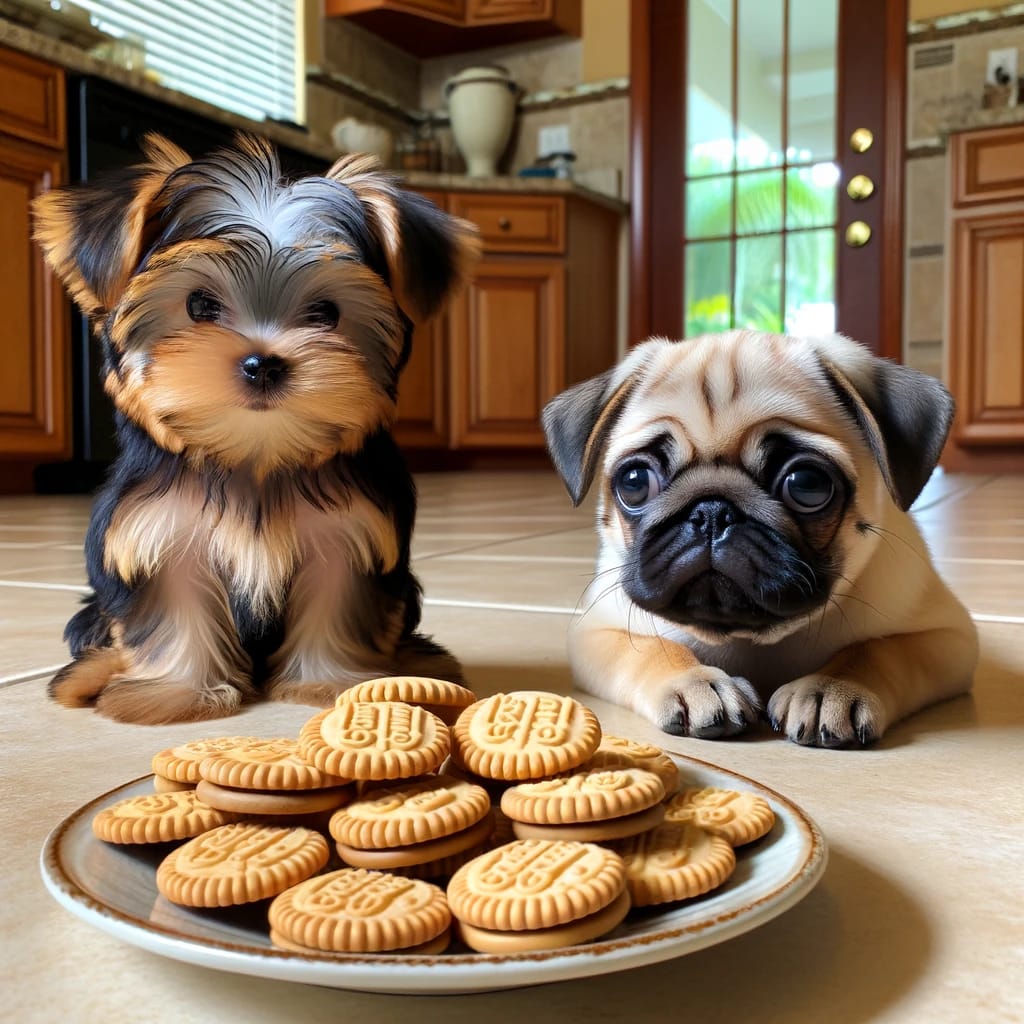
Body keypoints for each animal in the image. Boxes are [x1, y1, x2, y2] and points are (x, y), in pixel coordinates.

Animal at [33, 132, 479, 724]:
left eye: (325, 313)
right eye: (200, 304)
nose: (262, 364)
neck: (257, 456)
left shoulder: (348, 533)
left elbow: (338, 603)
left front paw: (331, 683)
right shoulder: (161, 532)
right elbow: (176, 610)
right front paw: (174, 693)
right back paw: (89, 675)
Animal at [540, 331, 978, 749]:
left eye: (806, 484)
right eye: (634, 482)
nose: (712, 512)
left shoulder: (947, 638)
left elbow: (876, 649)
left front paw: (832, 688)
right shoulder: (596, 634)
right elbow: (651, 648)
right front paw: (694, 682)